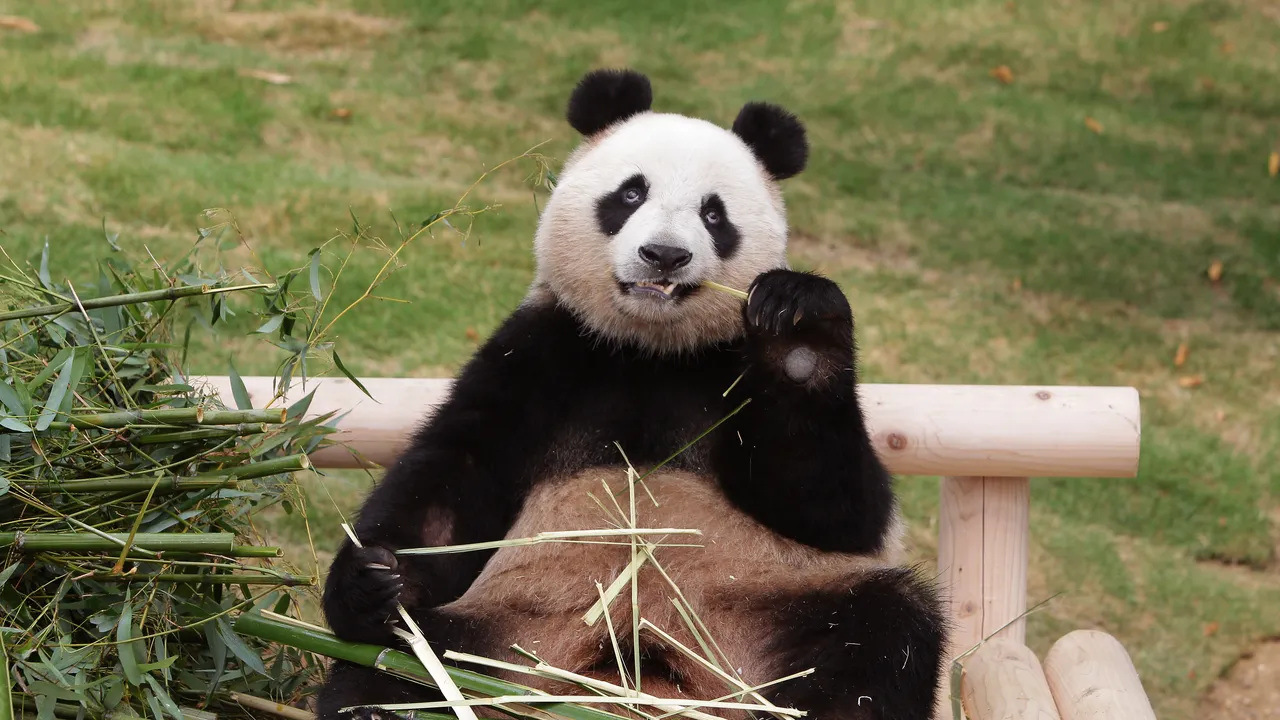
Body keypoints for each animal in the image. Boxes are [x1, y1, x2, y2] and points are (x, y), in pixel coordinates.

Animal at [315, 68, 947, 720]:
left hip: (765, 610)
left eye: (714, 214)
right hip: (504, 631)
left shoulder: (725, 370)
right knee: (401, 665)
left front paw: (798, 331)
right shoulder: (543, 353)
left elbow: (834, 509)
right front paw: (372, 581)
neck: (651, 352)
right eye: (630, 194)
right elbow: (451, 483)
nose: (664, 255)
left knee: (881, 630)